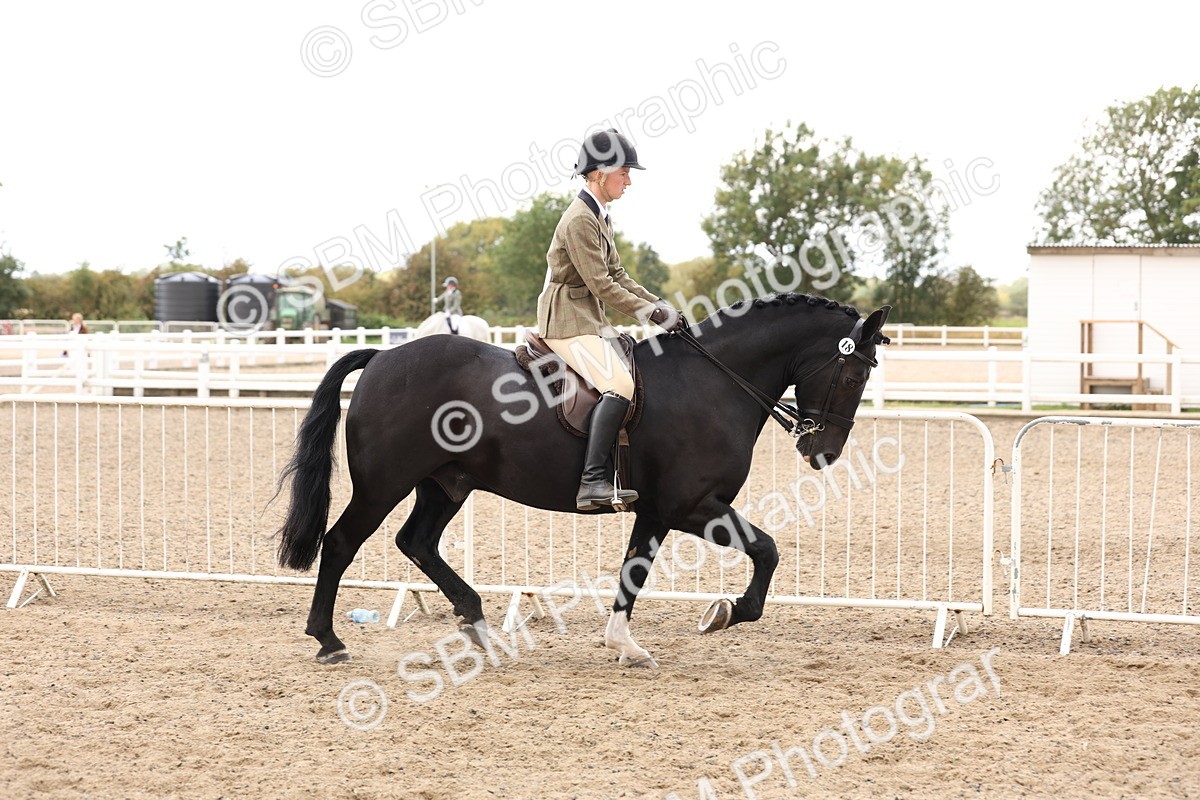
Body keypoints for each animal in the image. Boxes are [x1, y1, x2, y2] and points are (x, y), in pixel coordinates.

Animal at [277, 294, 891, 666]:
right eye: (853, 375)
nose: (823, 452)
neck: (713, 382)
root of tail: (382, 358)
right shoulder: (691, 504)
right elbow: (766, 550)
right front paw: (724, 613)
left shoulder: (656, 511)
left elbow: (633, 572)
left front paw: (625, 644)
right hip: (385, 483)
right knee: (341, 543)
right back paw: (328, 640)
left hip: (446, 483)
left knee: (417, 542)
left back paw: (477, 622)